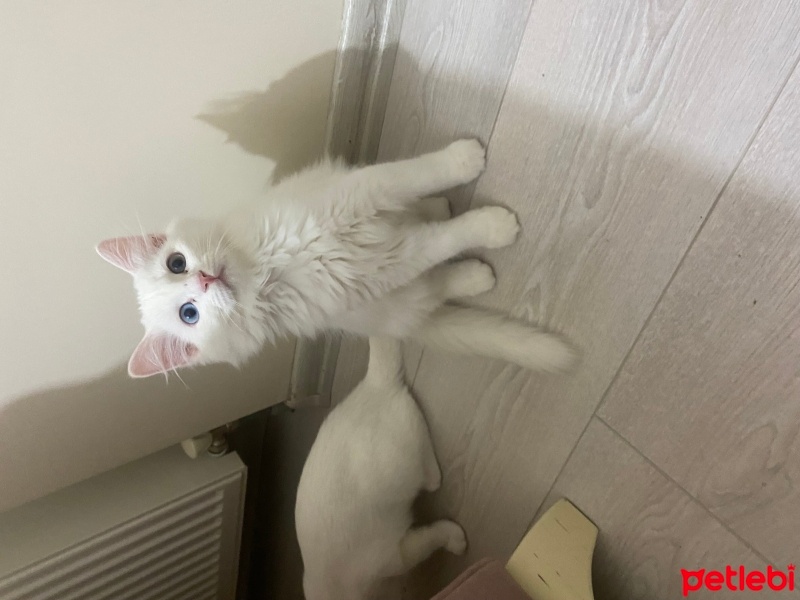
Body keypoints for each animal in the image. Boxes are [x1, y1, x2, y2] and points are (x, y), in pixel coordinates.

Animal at [98, 139, 576, 378]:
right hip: (391, 304)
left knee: (423, 212)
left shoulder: (367, 189)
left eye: (176, 263)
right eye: (190, 314)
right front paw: (494, 226)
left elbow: (420, 172)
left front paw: (464, 158)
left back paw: (440, 208)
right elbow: (441, 243)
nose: (204, 281)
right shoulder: (386, 267)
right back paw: (477, 274)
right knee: (435, 283)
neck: (271, 267)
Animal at [296, 338, 466, 600]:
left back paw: (434, 479)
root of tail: (373, 382)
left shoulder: (396, 556)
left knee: (430, 473)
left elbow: (435, 535)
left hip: (406, 459)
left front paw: (456, 540)